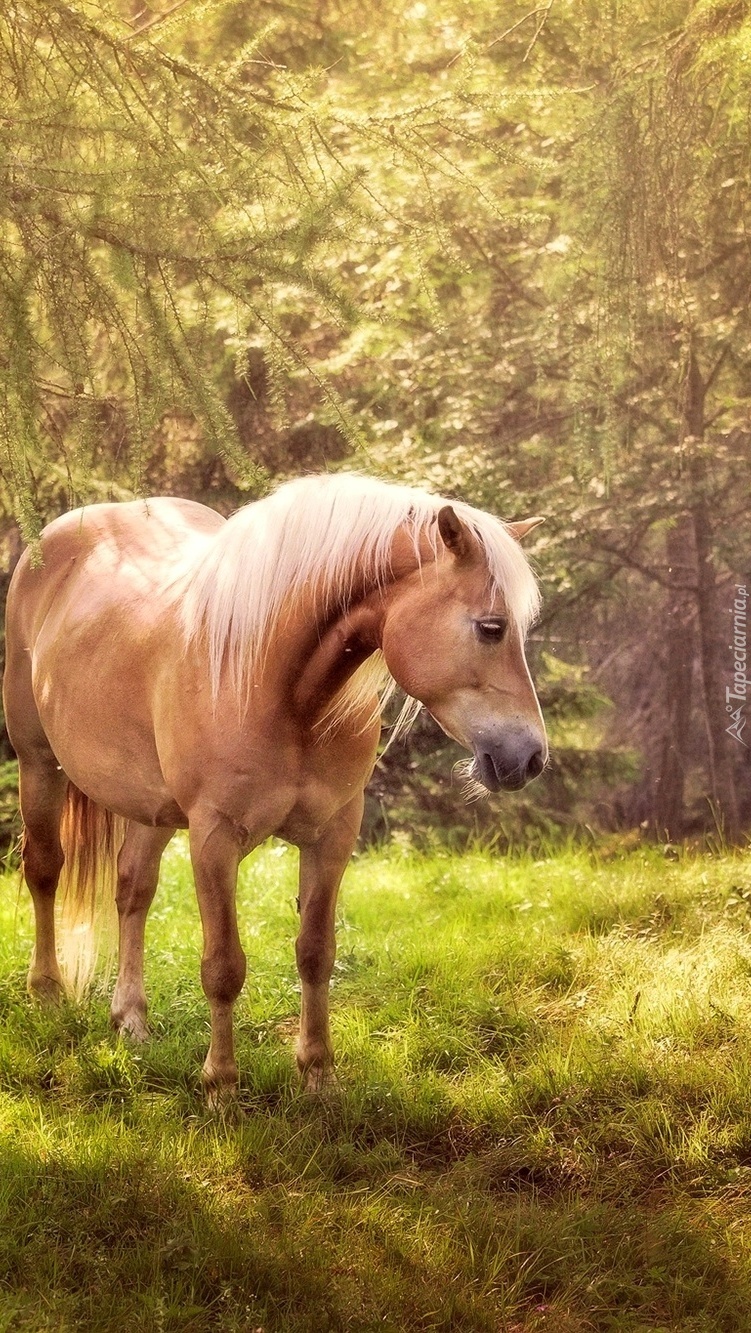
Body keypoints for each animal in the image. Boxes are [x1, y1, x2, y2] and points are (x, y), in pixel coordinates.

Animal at [2, 474, 549, 1098]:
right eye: (491, 628)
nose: (531, 757)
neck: (279, 686)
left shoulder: (333, 835)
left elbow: (316, 953)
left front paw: (318, 1074)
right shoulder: (214, 839)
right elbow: (223, 966)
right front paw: (221, 1087)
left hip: (152, 807)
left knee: (132, 890)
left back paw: (131, 1019)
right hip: (39, 765)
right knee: (44, 869)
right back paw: (47, 994)